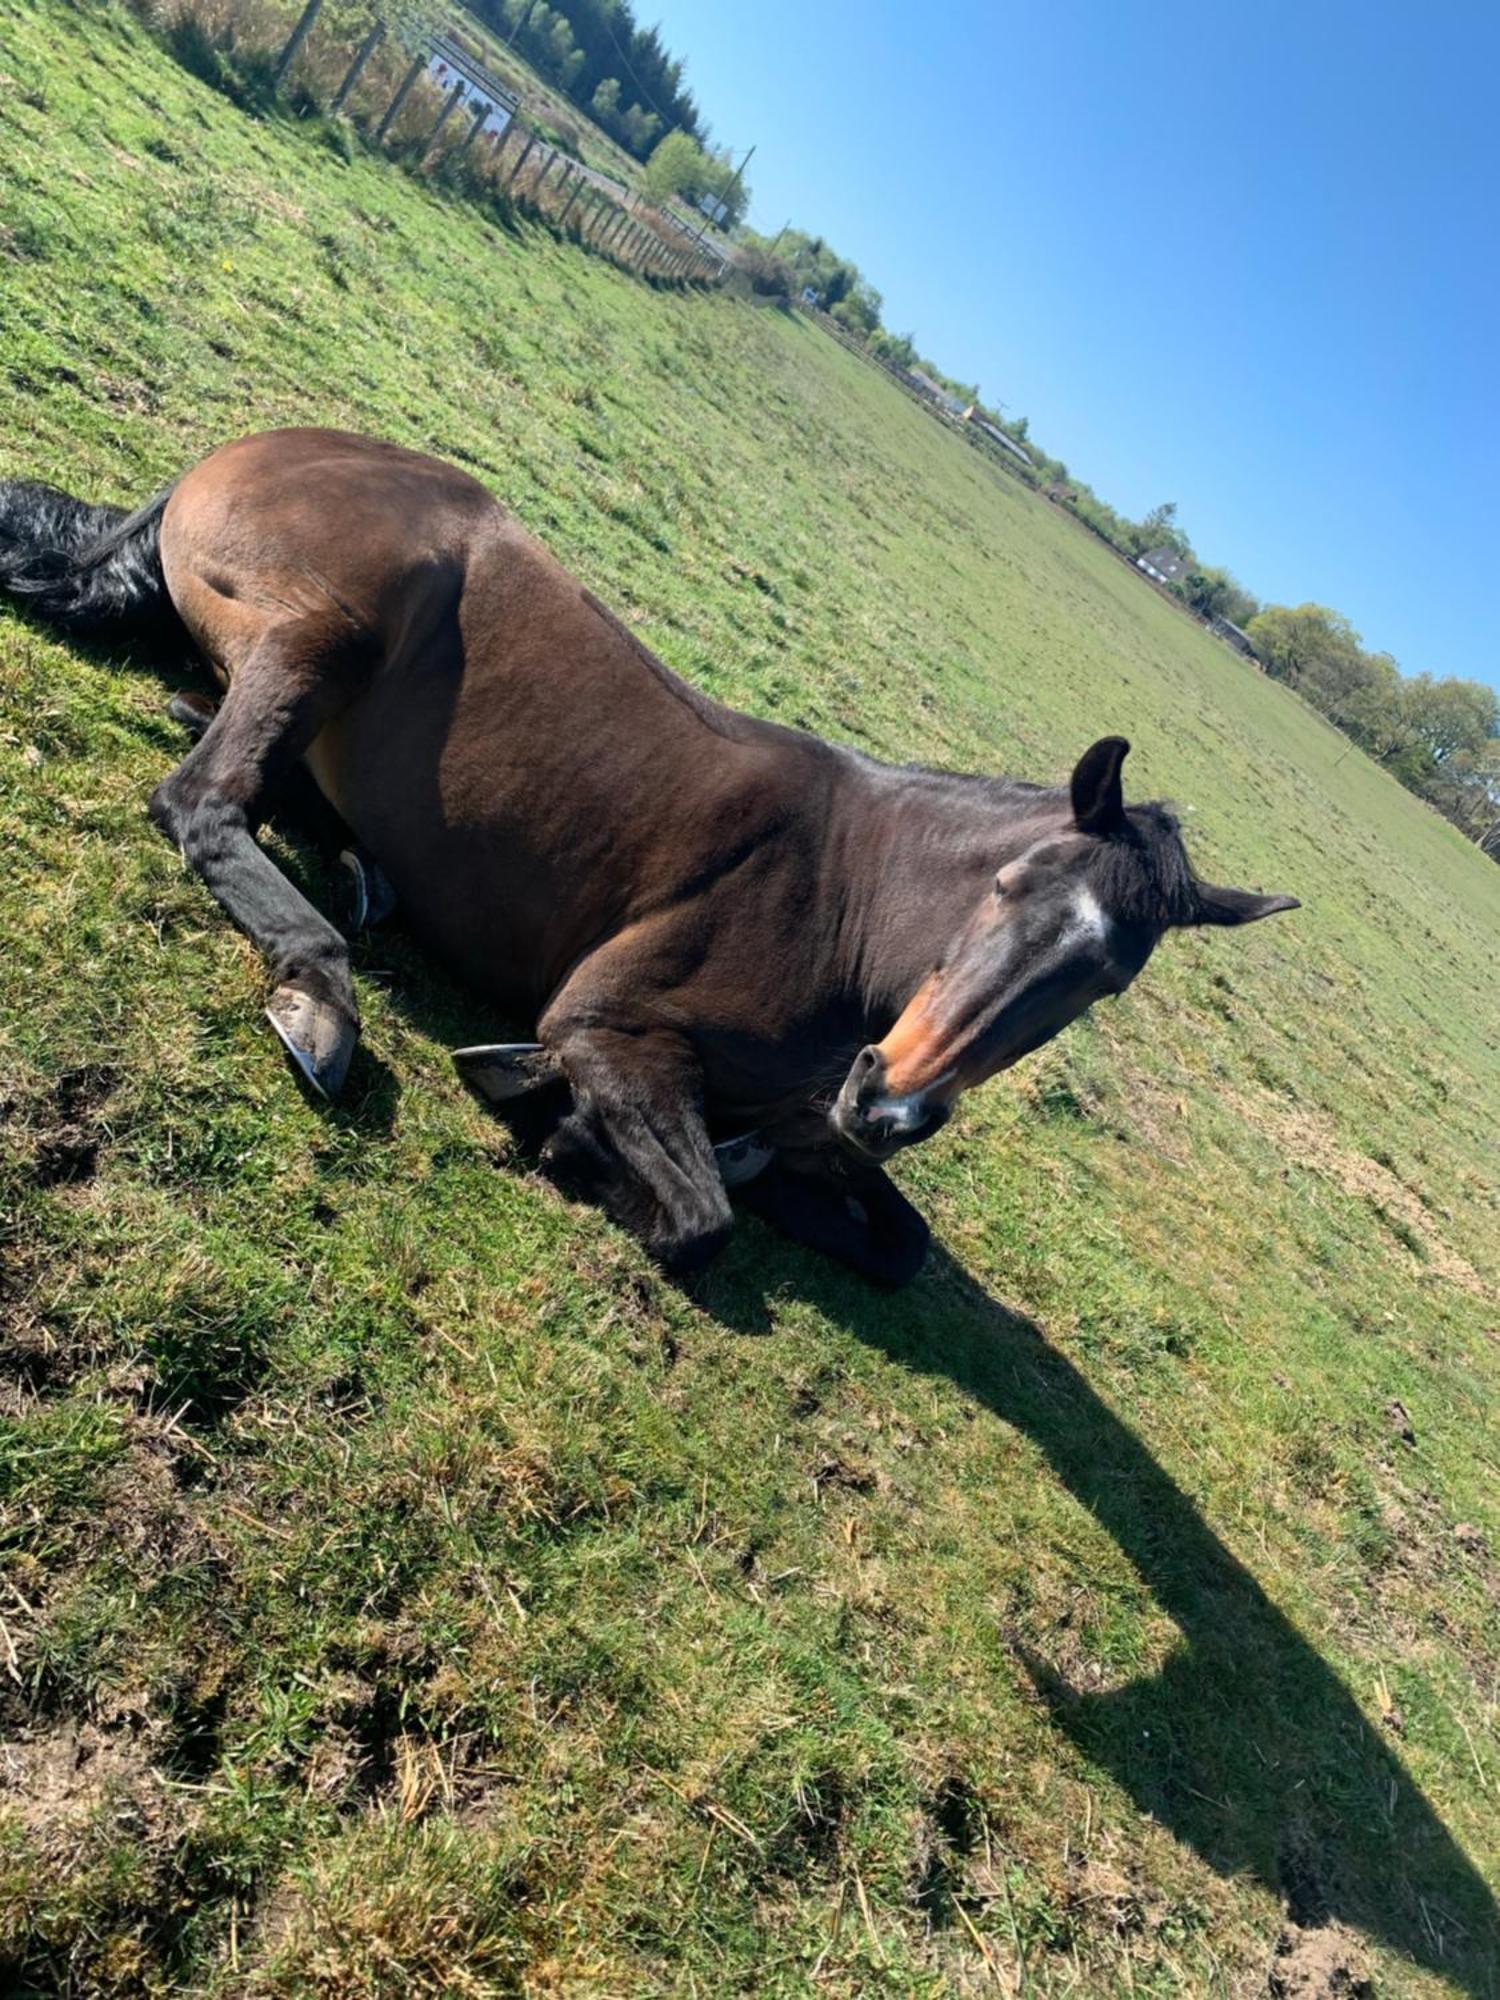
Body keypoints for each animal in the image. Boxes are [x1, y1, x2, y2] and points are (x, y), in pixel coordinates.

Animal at [0, 432, 1296, 1288]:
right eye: (1008, 890)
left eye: (1103, 983)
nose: (891, 1104)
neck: (840, 902)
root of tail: (238, 449)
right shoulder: (615, 1027)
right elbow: (700, 1215)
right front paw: (551, 1111)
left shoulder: (809, 1121)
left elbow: (897, 1241)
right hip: (333, 629)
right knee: (207, 801)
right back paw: (321, 992)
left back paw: (360, 867)